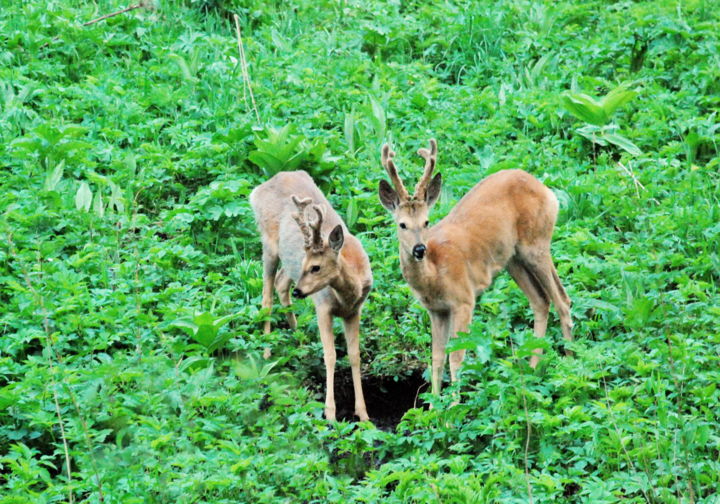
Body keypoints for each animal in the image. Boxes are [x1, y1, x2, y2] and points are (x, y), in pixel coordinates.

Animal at [250, 171, 372, 424]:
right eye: (307, 262)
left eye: (315, 267)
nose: (300, 291)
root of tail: (259, 188)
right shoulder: (323, 307)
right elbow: (331, 355)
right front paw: (330, 414)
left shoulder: (355, 311)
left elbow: (354, 355)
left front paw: (363, 414)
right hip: (268, 244)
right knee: (266, 298)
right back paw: (266, 351)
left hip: (287, 263)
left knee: (281, 283)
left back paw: (299, 341)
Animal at [376, 140, 572, 396]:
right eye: (402, 224)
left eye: (426, 222)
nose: (419, 249)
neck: (434, 274)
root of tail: (547, 191)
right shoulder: (436, 310)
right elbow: (437, 358)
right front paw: (433, 403)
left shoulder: (464, 300)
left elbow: (456, 357)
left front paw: (454, 403)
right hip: (513, 259)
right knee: (541, 300)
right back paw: (531, 373)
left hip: (537, 242)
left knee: (562, 299)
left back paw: (569, 364)